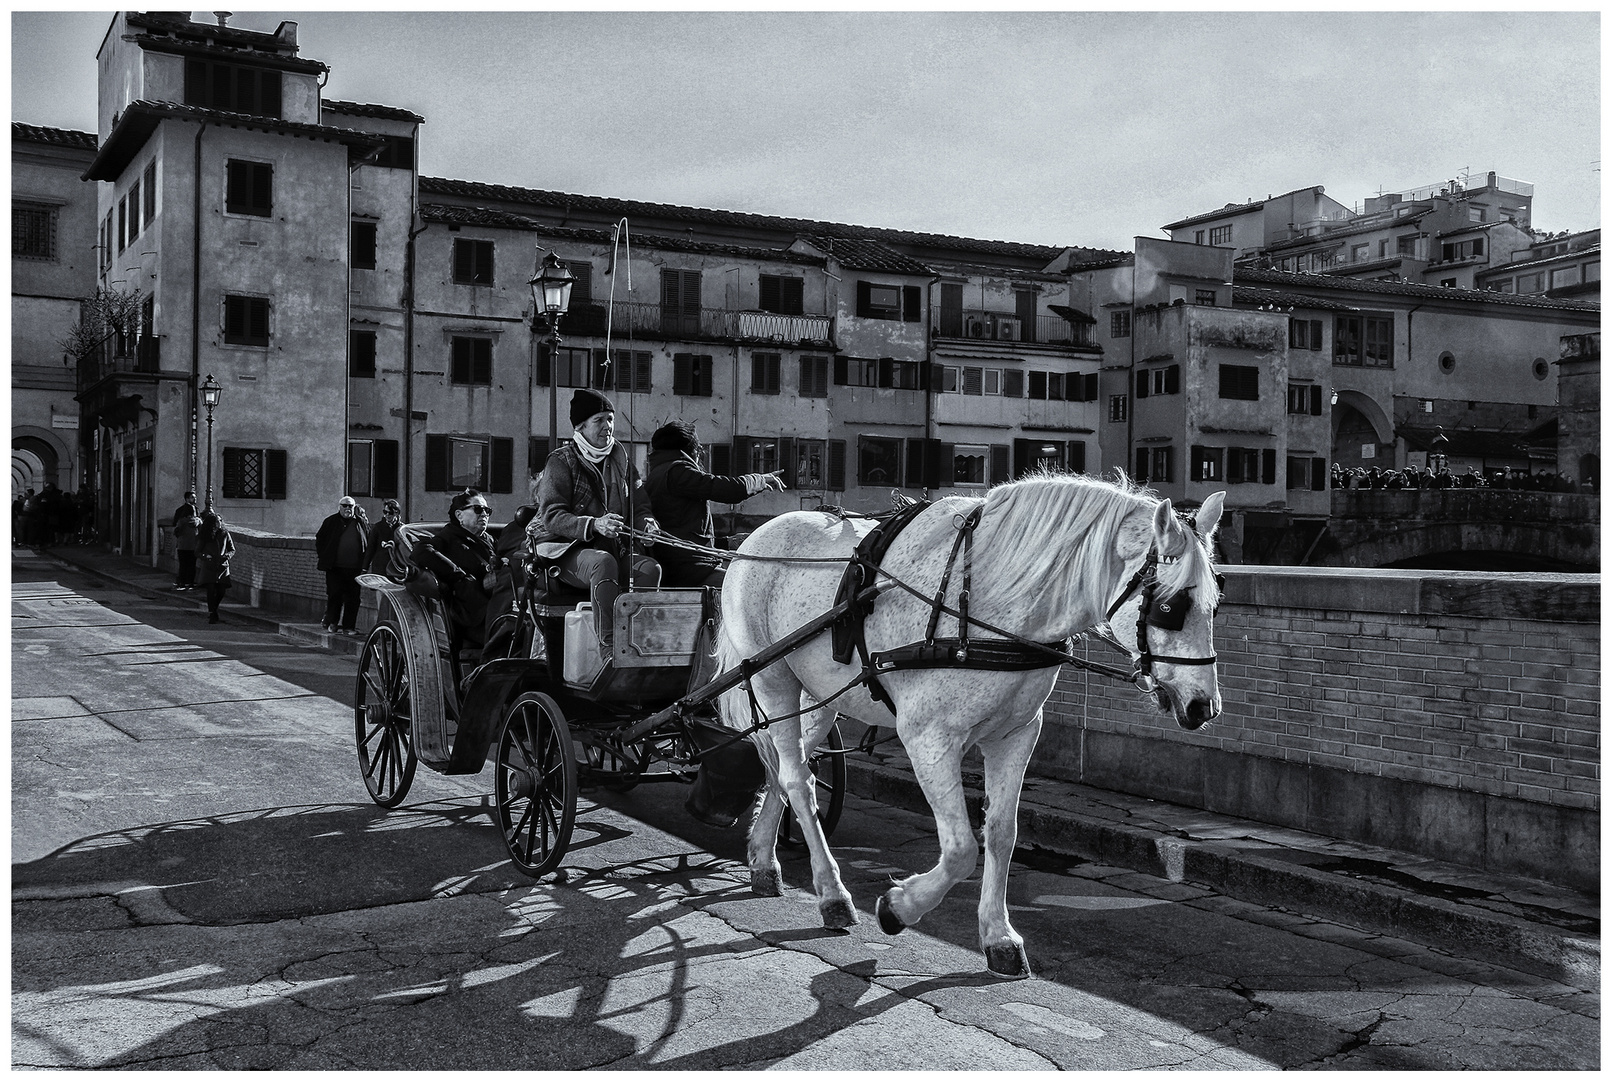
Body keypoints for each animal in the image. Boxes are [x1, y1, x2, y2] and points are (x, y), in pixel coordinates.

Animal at [712, 473, 1225, 980]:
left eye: (1216, 603)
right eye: (1169, 608)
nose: (1204, 706)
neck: (985, 605)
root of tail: (751, 541)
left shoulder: (1017, 735)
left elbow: (1000, 833)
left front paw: (999, 936)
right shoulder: (929, 739)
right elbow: (960, 849)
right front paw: (901, 906)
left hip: (821, 700)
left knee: (787, 770)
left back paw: (764, 859)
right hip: (773, 680)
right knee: (798, 781)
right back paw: (833, 894)